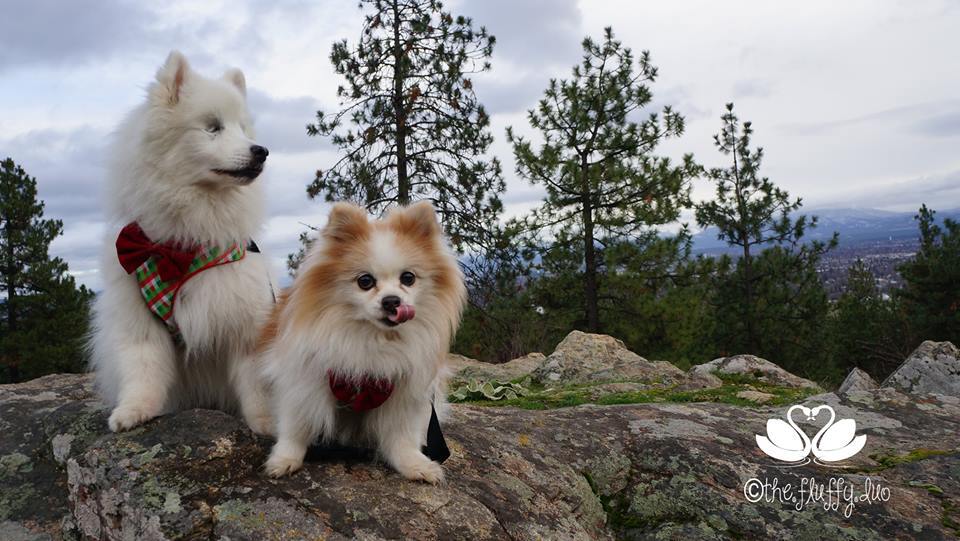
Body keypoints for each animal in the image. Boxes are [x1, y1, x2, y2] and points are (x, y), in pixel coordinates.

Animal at [89, 51, 275, 435]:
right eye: (213, 127)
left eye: (243, 129)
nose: (261, 150)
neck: (181, 244)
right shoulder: (138, 320)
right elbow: (142, 369)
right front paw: (134, 411)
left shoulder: (247, 323)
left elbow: (257, 384)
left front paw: (267, 423)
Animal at [259, 202, 466, 483]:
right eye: (365, 281)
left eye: (408, 278)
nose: (392, 301)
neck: (373, 338)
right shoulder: (306, 380)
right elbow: (296, 426)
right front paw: (284, 459)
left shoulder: (402, 391)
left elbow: (400, 436)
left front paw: (414, 464)